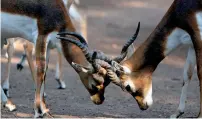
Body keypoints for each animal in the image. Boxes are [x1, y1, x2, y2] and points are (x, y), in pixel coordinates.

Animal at [63, 0, 202, 117]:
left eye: (128, 87)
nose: (143, 106)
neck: (184, 6)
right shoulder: (191, 42)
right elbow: (186, 75)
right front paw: (177, 113)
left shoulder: (198, 37)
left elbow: (200, 75)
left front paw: (199, 116)